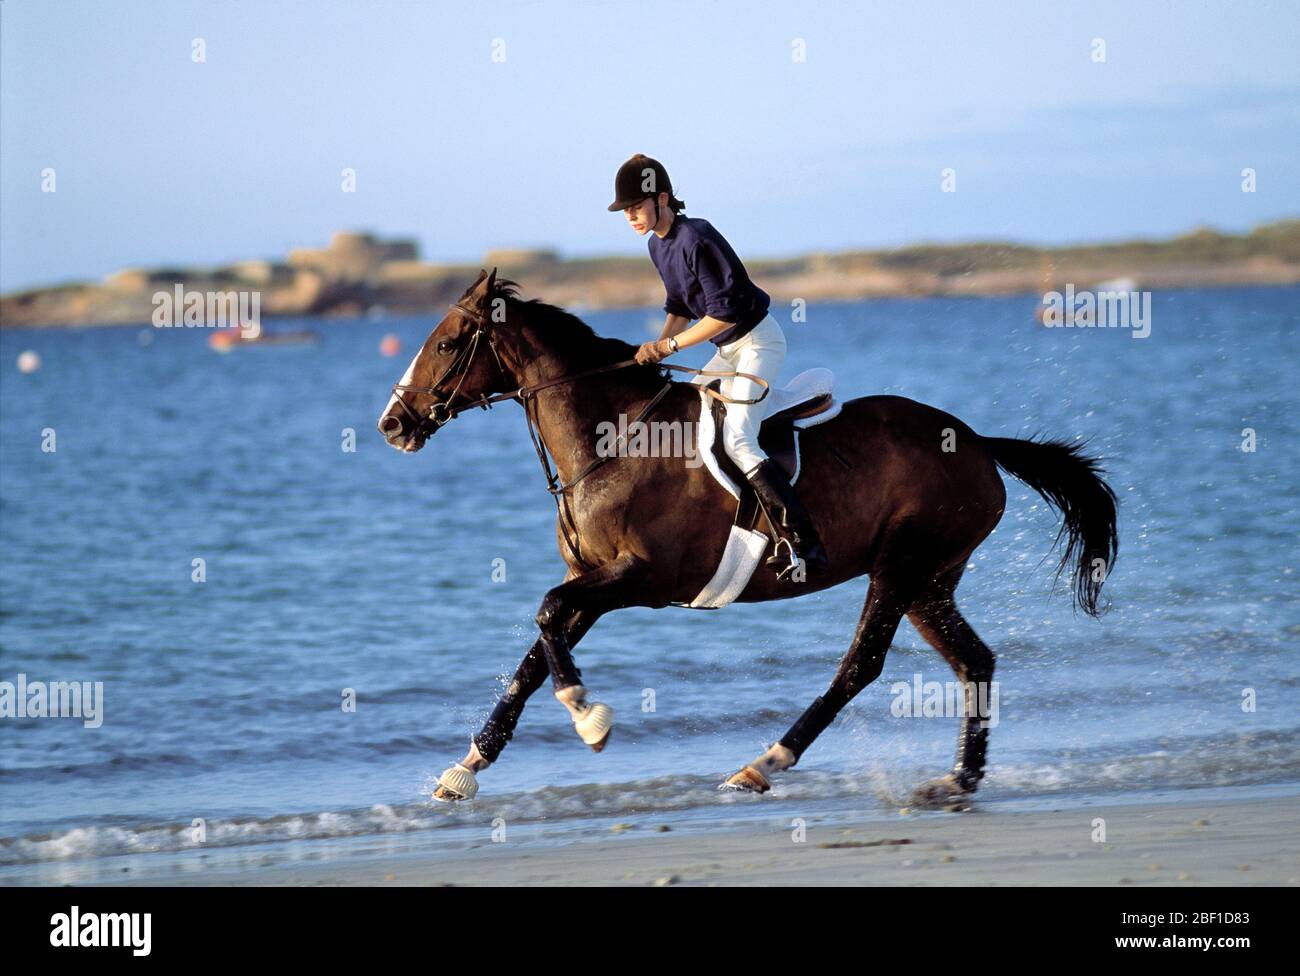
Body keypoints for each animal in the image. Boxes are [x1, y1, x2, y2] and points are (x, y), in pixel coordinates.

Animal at [377, 269, 1118, 810]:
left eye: (446, 344)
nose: (392, 423)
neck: (611, 439)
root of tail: (979, 444)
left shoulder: (641, 579)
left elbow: (545, 617)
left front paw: (589, 717)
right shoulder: (594, 582)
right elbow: (536, 653)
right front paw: (466, 766)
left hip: (902, 566)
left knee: (861, 666)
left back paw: (764, 764)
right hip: (929, 581)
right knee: (974, 663)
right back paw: (957, 781)